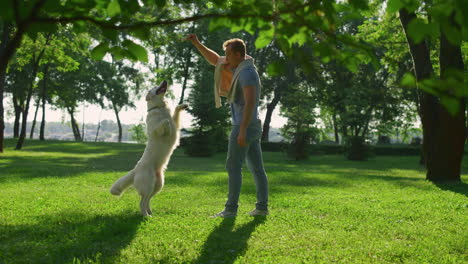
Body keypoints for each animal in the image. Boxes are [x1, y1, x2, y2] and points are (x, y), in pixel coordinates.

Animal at [109, 81, 188, 217]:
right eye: (155, 87)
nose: (165, 81)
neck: (159, 108)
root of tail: (135, 170)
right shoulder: (156, 131)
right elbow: (164, 123)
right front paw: (166, 121)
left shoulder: (176, 125)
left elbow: (174, 116)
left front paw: (182, 105)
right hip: (148, 185)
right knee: (142, 201)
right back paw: (146, 216)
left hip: (158, 185)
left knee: (147, 200)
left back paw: (150, 212)